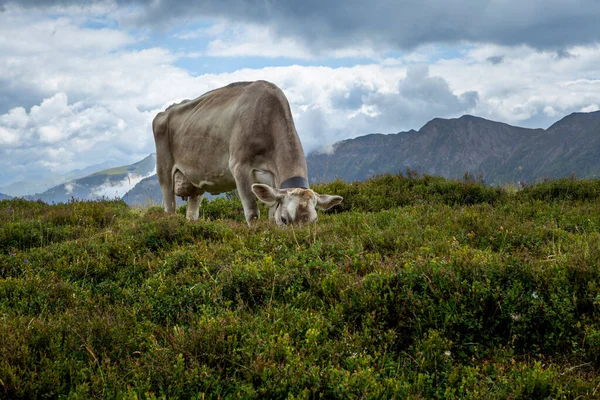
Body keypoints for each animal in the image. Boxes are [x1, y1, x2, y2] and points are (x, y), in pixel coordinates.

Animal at [151, 80, 342, 225]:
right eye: (285, 219)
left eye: (314, 221)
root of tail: (165, 112)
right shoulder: (239, 167)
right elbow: (252, 213)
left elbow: (270, 215)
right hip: (164, 172)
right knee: (169, 208)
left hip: (195, 182)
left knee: (191, 213)